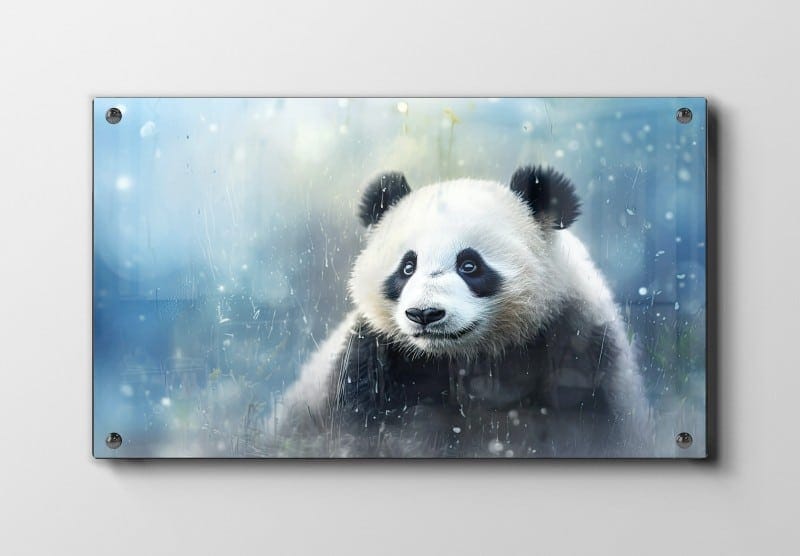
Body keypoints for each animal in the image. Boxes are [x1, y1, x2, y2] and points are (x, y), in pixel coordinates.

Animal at [269, 166, 652, 457]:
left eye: (469, 265)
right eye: (407, 267)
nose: (424, 314)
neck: (469, 354)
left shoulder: (574, 338)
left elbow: (587, 422)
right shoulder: (377, 354)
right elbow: (361, 425)